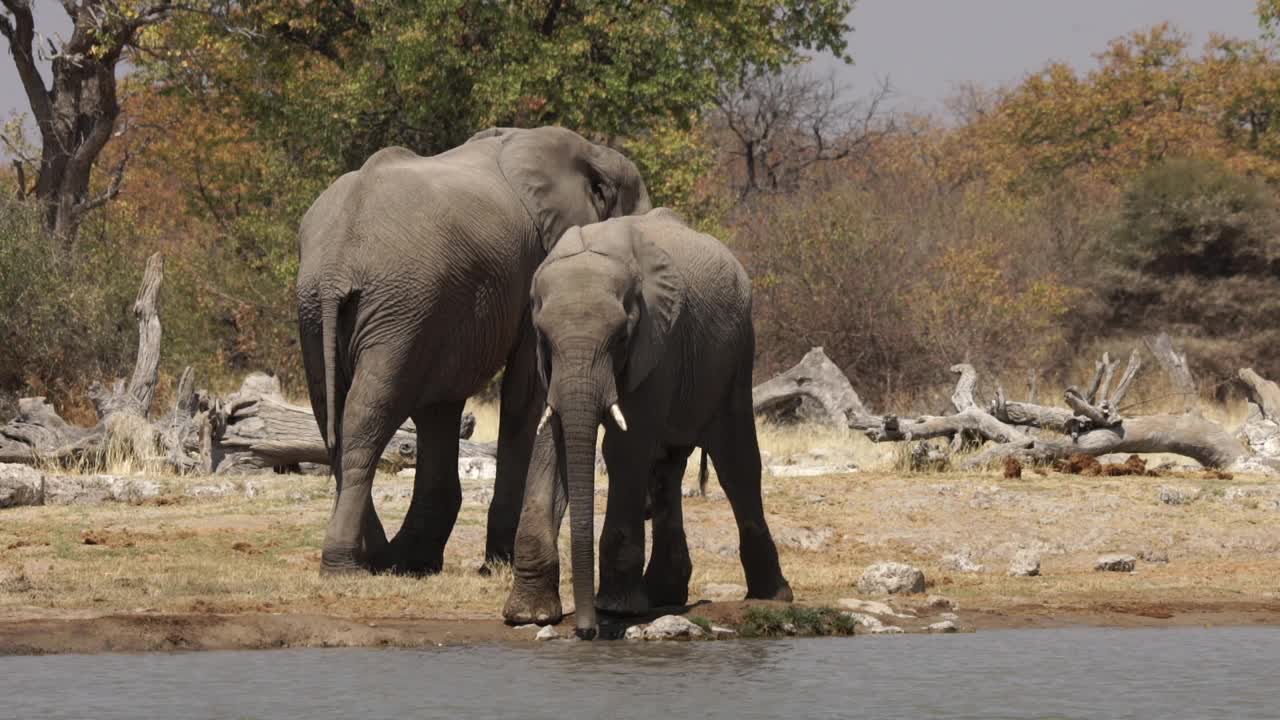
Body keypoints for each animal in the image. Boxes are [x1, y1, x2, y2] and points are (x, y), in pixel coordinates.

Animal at [293, 124, 645, 571]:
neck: (589, 152)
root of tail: (337, 262)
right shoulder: (532, 274)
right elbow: (525, 394)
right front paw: (502, 561)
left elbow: (445, 407)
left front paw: (420, 561)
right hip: (401, 304)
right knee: (366, 414)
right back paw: (346, 566)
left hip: (330, 308)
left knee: (335, 415)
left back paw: (381, 559)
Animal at [499, 206, 788, 632]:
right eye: (544, 337)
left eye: (620, 338)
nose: (586, 631)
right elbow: (551, 445)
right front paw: (527, 615)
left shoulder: (656, 342)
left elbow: (624, 449)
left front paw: (617, 609)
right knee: (666, 470)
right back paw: (665, 595)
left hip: (737, 353)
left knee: (736, 465)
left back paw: (772, 596)